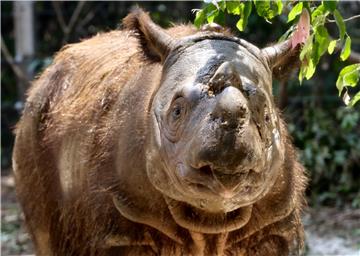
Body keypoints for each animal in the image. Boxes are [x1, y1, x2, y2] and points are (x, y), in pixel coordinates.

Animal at [13, 9, 306, 256]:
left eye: (267, 116)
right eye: (176, 111)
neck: (212, 219)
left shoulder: (273, 224)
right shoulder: (122, 228)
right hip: (33, 122)